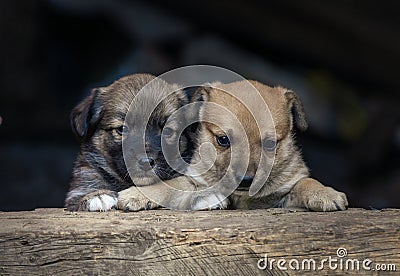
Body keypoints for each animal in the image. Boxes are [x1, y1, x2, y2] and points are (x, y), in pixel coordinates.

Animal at [116, 79, 346, 211]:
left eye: (270, 144)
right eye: (223, 140)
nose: (246, 181)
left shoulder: (283, 193)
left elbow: (306, 182)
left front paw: (326, 194)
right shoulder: (195, 181)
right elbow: (170, 185)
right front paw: (137, 195)